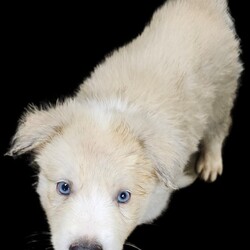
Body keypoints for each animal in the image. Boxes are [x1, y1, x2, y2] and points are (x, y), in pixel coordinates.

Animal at [7, 0, 242, 250]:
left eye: (123, 196)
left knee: (219, 126)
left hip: (223, 90)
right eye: (64, 187)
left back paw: (211, 162)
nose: (85, 248)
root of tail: (202, 6)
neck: (117, 107)